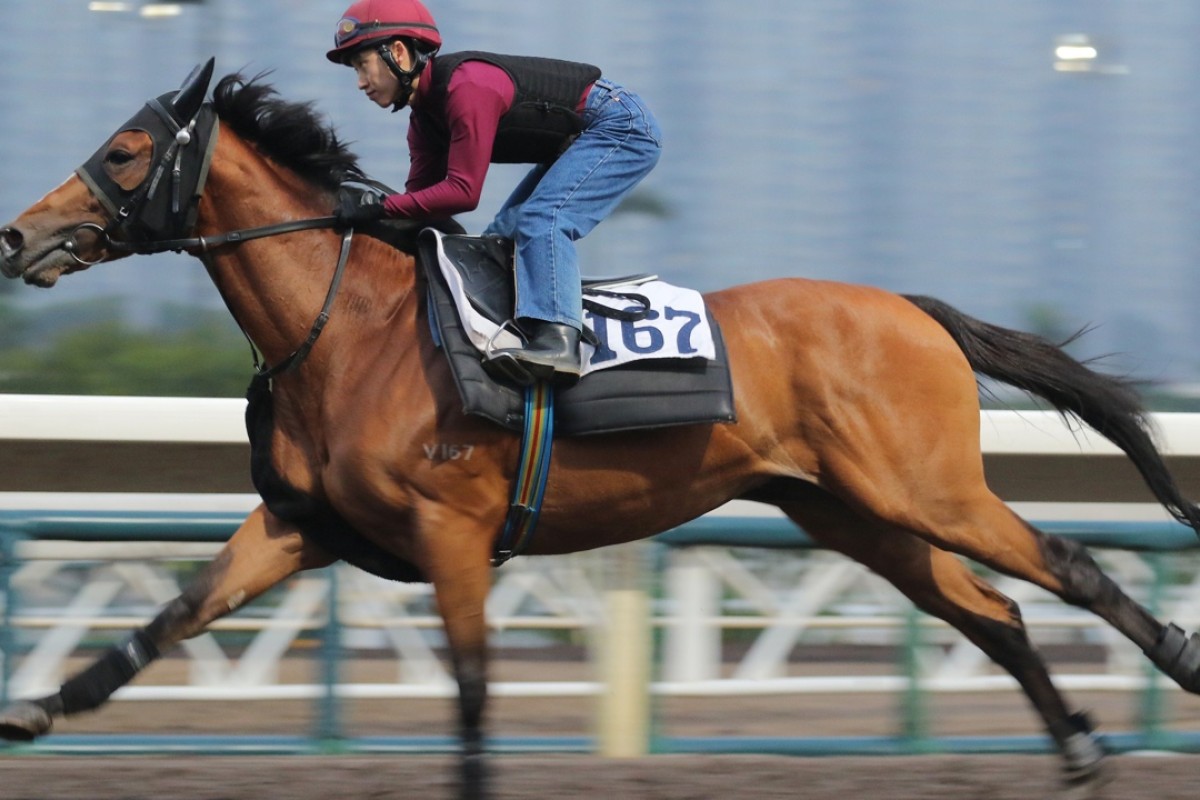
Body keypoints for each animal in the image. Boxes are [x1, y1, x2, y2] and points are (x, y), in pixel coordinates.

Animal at [2, 59, 1200, 796]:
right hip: (853, 511)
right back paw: (1080, 750)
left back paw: (1177, 664)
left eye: (123, 152)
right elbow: (171, 616)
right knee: (993, 611)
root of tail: (913, 308)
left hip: (927, 487)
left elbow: (474, 688)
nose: (17, 236)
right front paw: (37, 711)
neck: (351, 327)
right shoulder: (302, 523)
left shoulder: (451, 531)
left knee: (1064, 564)